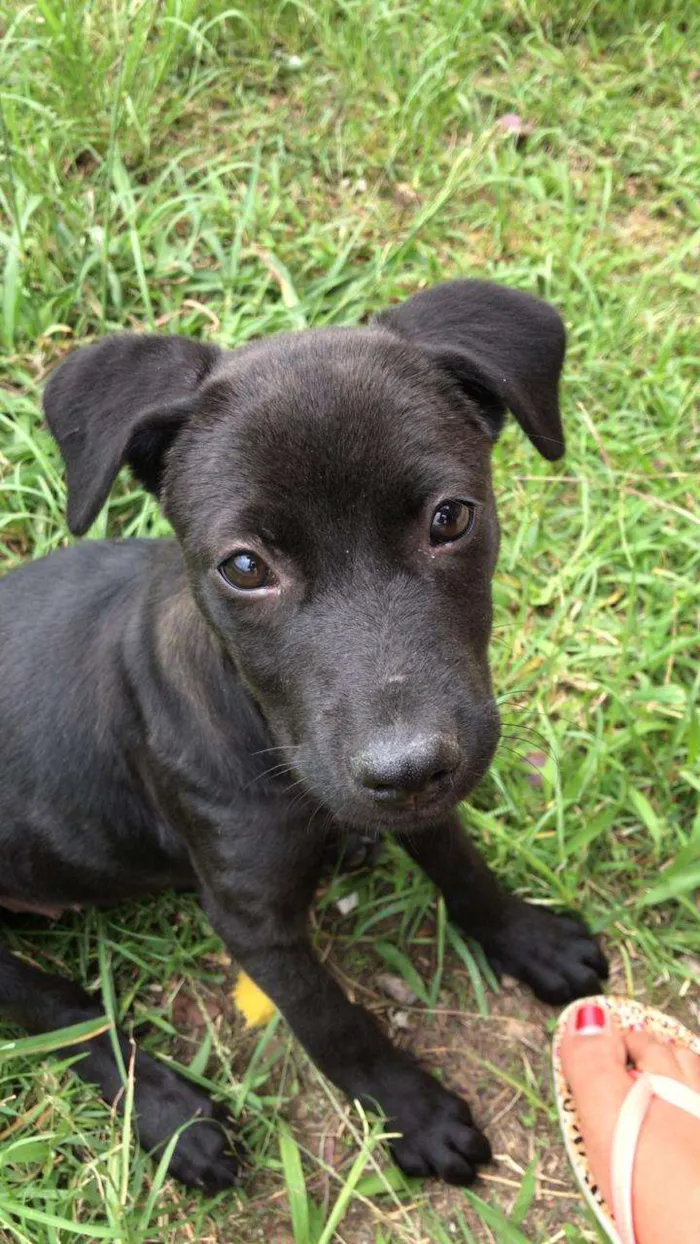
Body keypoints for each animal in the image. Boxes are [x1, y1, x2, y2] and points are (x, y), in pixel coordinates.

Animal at [0, 279, 609, 1184]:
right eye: (246, 567)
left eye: (450, 518)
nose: (405, 768)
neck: (263, 734)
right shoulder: (253, 921)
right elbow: (333, 1020)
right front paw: (412, 1112)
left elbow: (462, 864)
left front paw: (525, 937)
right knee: (55, 1008)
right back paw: (172, 1114)